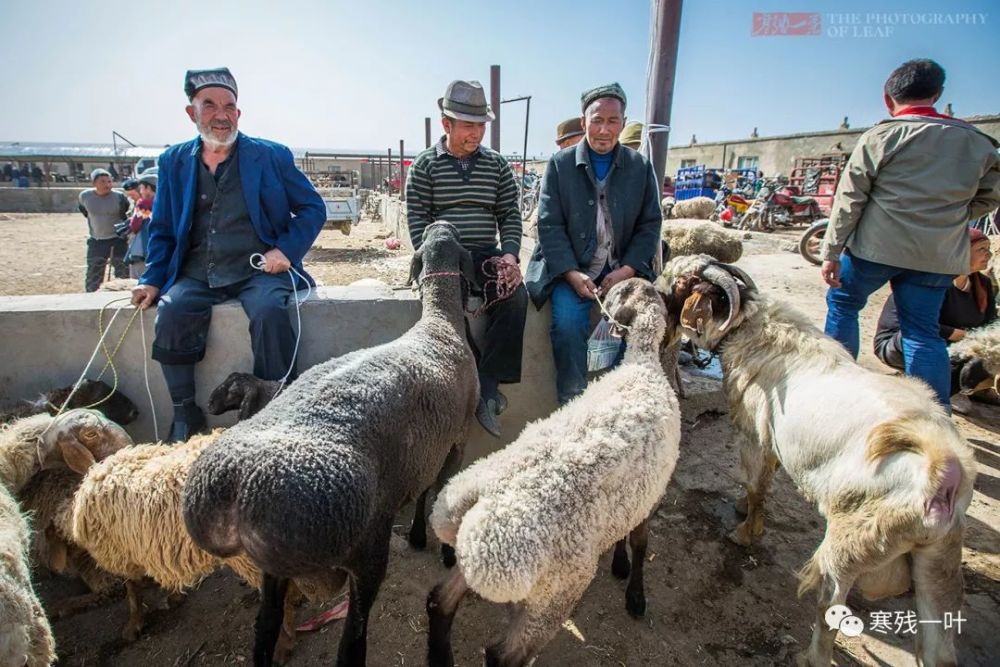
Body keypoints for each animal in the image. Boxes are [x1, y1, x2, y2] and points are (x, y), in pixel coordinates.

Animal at [184, 222, 480, 664]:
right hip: (363, 545)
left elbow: (425, 489)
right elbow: (437, 490)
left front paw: (418, 536)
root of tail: (235, 487)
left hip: (277, 569)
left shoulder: (427, 448)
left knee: (266, 625)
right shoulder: (456, 438)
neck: (440, 323)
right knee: (352, 642)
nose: (442, 224)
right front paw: (437, 547)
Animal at [426, 278, 684, 667]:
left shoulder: (634, 494)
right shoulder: (654, 490)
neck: (642, 365)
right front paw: (635, 593)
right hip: (556, 591)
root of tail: (463, 510)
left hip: (479, 569)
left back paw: (441, 657)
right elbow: (641, 543)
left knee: (439, 602)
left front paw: (621, 565)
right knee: (502, 655)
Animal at [672, 258, 976, 667]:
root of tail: (944, 472)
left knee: (830, 607)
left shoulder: (755, 435)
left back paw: (810, 657)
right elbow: (764, 479)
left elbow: (756, 485)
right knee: (938, 648)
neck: (755, 329)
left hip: (850, 540)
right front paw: (741, 510)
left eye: (684, 281)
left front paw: (745, 532)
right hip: (939, 559)